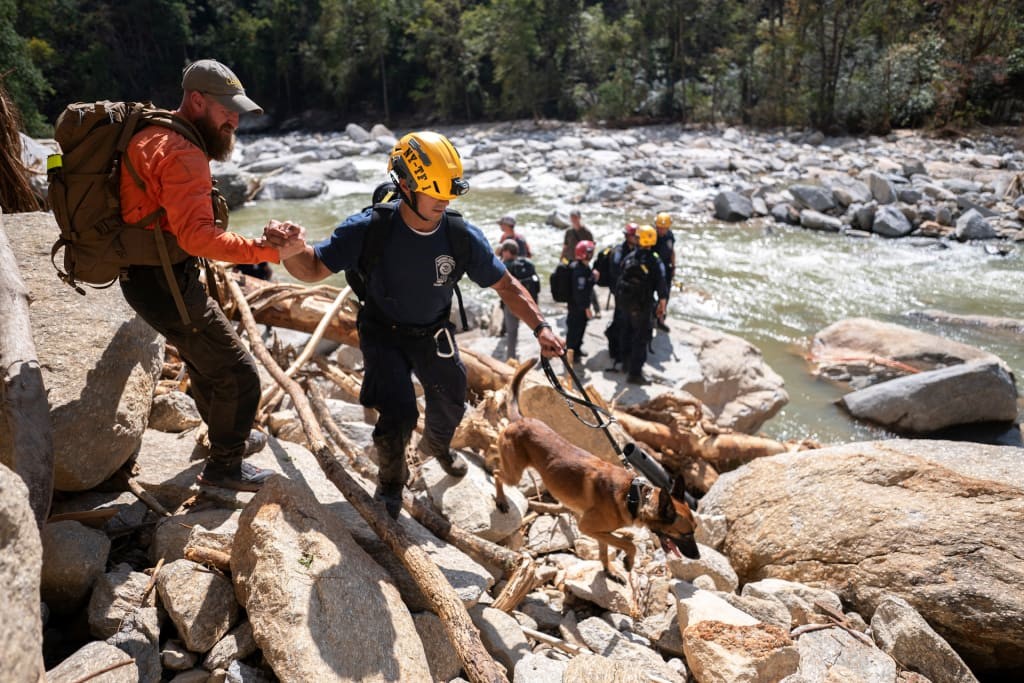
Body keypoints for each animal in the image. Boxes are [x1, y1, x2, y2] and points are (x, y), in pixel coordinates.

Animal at [493, 358, 700, 581]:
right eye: (685, 534)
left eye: (695, 530)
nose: (697, 557)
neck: (633, 496)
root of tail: (519, 420)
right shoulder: (588, 527)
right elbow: (628, 543)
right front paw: (628, 561)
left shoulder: (599, 531)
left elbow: (605, 549)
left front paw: (609, 570)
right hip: (514, 474)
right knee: (496, 473)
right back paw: (501, 500)